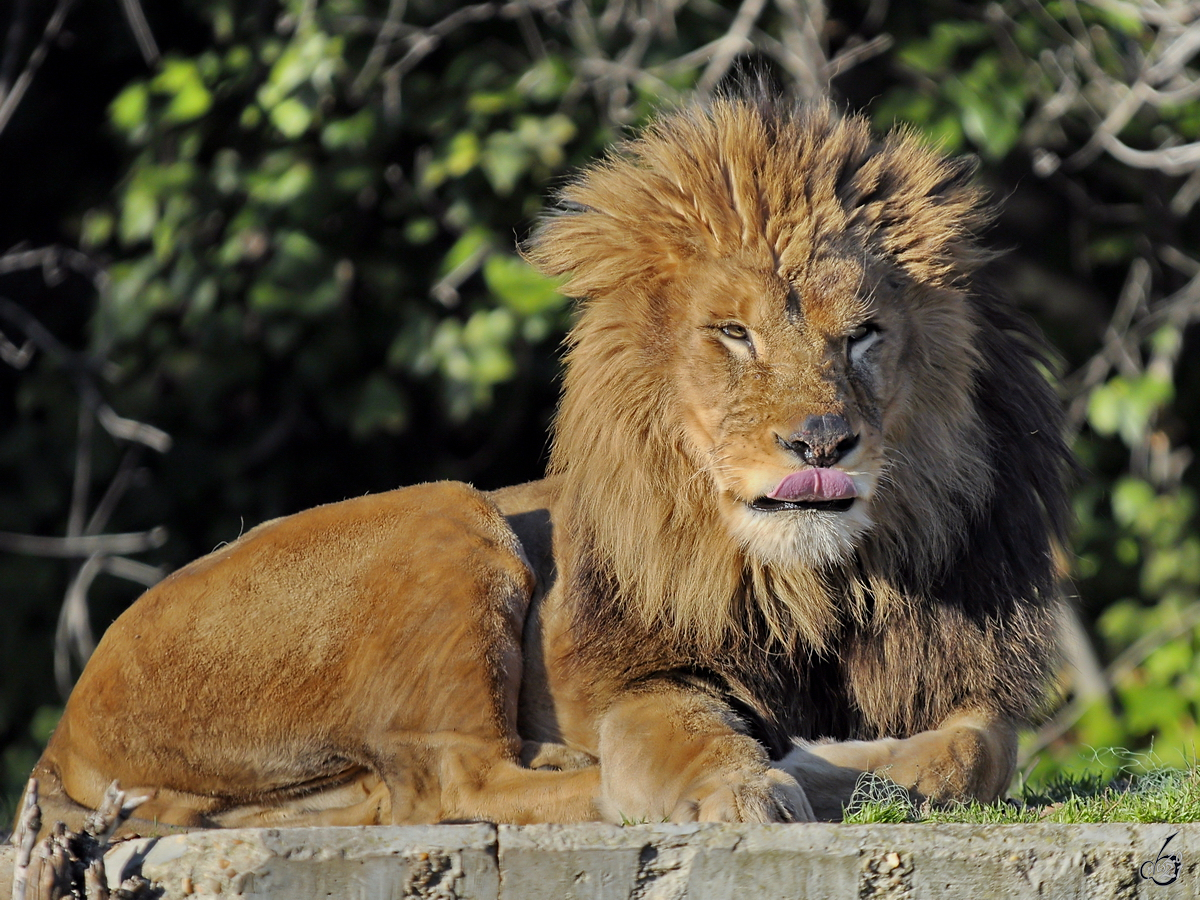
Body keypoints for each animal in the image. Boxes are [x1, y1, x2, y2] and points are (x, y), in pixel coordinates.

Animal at [21, 95, 1070, 835]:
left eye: (862, 337)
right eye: (733, 335)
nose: (820, 442)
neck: (813, 587)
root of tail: (61, 731)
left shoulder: (957, 673)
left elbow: (982, 749)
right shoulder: (639, 670)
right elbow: (689, 735)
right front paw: (753, 782)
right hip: (447, 515)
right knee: (454, 782)